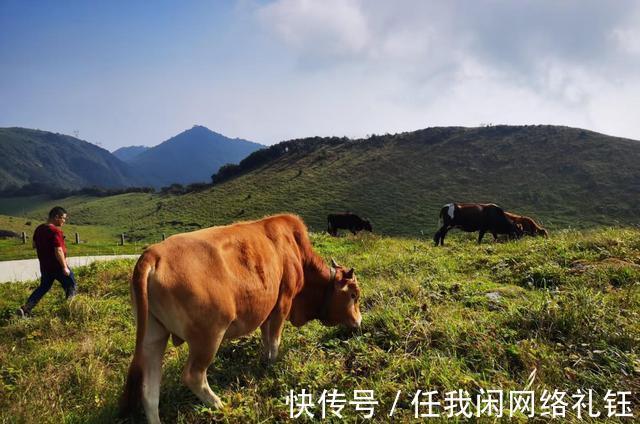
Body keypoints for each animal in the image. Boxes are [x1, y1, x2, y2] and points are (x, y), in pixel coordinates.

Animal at [119, 215, 360, 424]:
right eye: (353, 294)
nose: (358, 322)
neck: (296, 252)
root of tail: (153, 254)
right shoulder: (284, 301)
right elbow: (275, 339)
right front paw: (271, 365)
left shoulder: (268, 308)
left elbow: (266, 337)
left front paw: (264, 360)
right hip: (209, 336)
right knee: (193, 375)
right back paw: (219, 405)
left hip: (153, 336)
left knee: (149, 392)